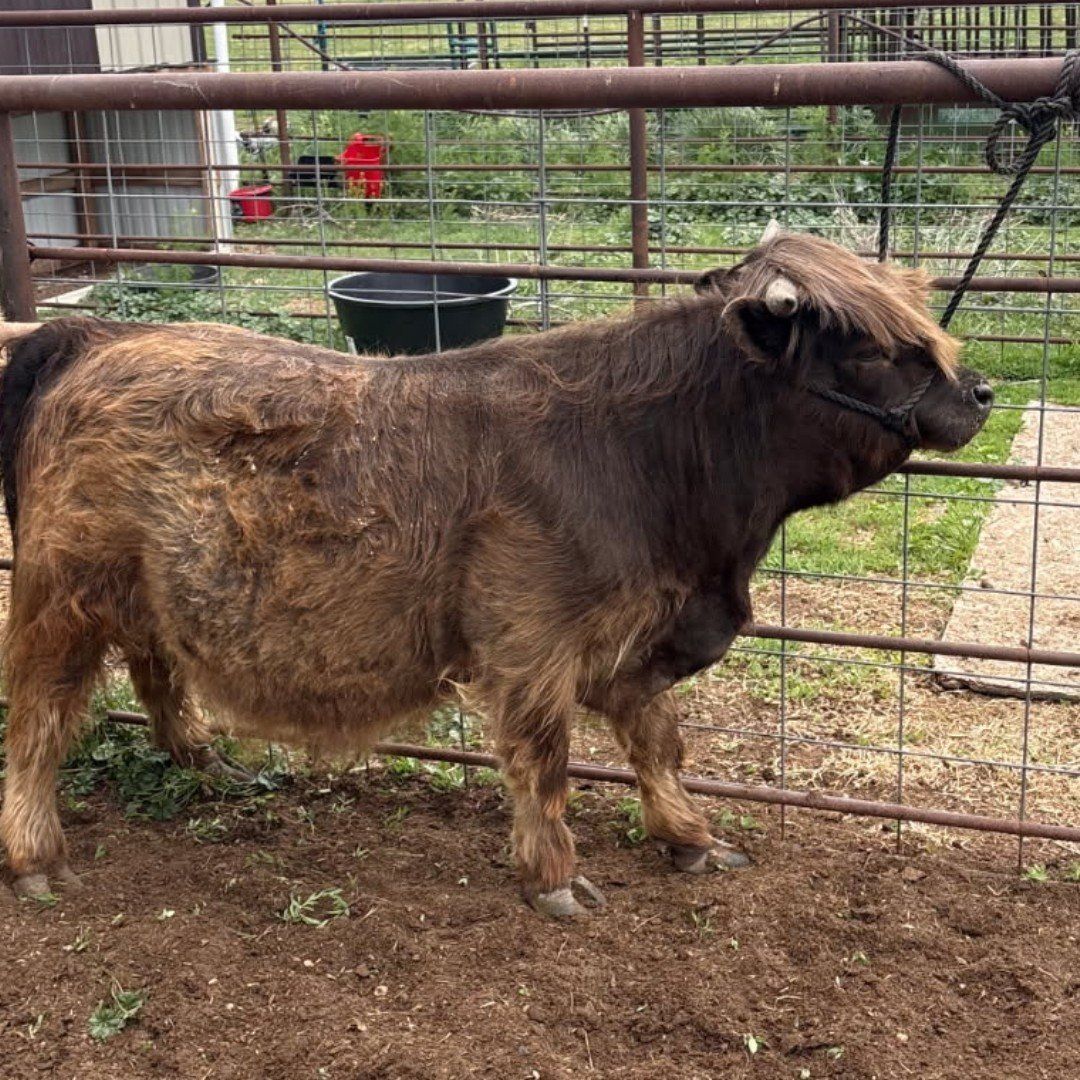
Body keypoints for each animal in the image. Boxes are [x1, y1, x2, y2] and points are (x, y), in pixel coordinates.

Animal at [0, 230, 992, 915]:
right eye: (872, 347)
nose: (979, 393)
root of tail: (94, 336)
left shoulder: (636, 638)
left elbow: (658, 742)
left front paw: (690, 838)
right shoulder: (532, 644)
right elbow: (545, 760)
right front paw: (554, 879)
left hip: (147, 589)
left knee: (156, 669)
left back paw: (207, 763)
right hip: (60, 599)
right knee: (40, 721)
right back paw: (35, 857)